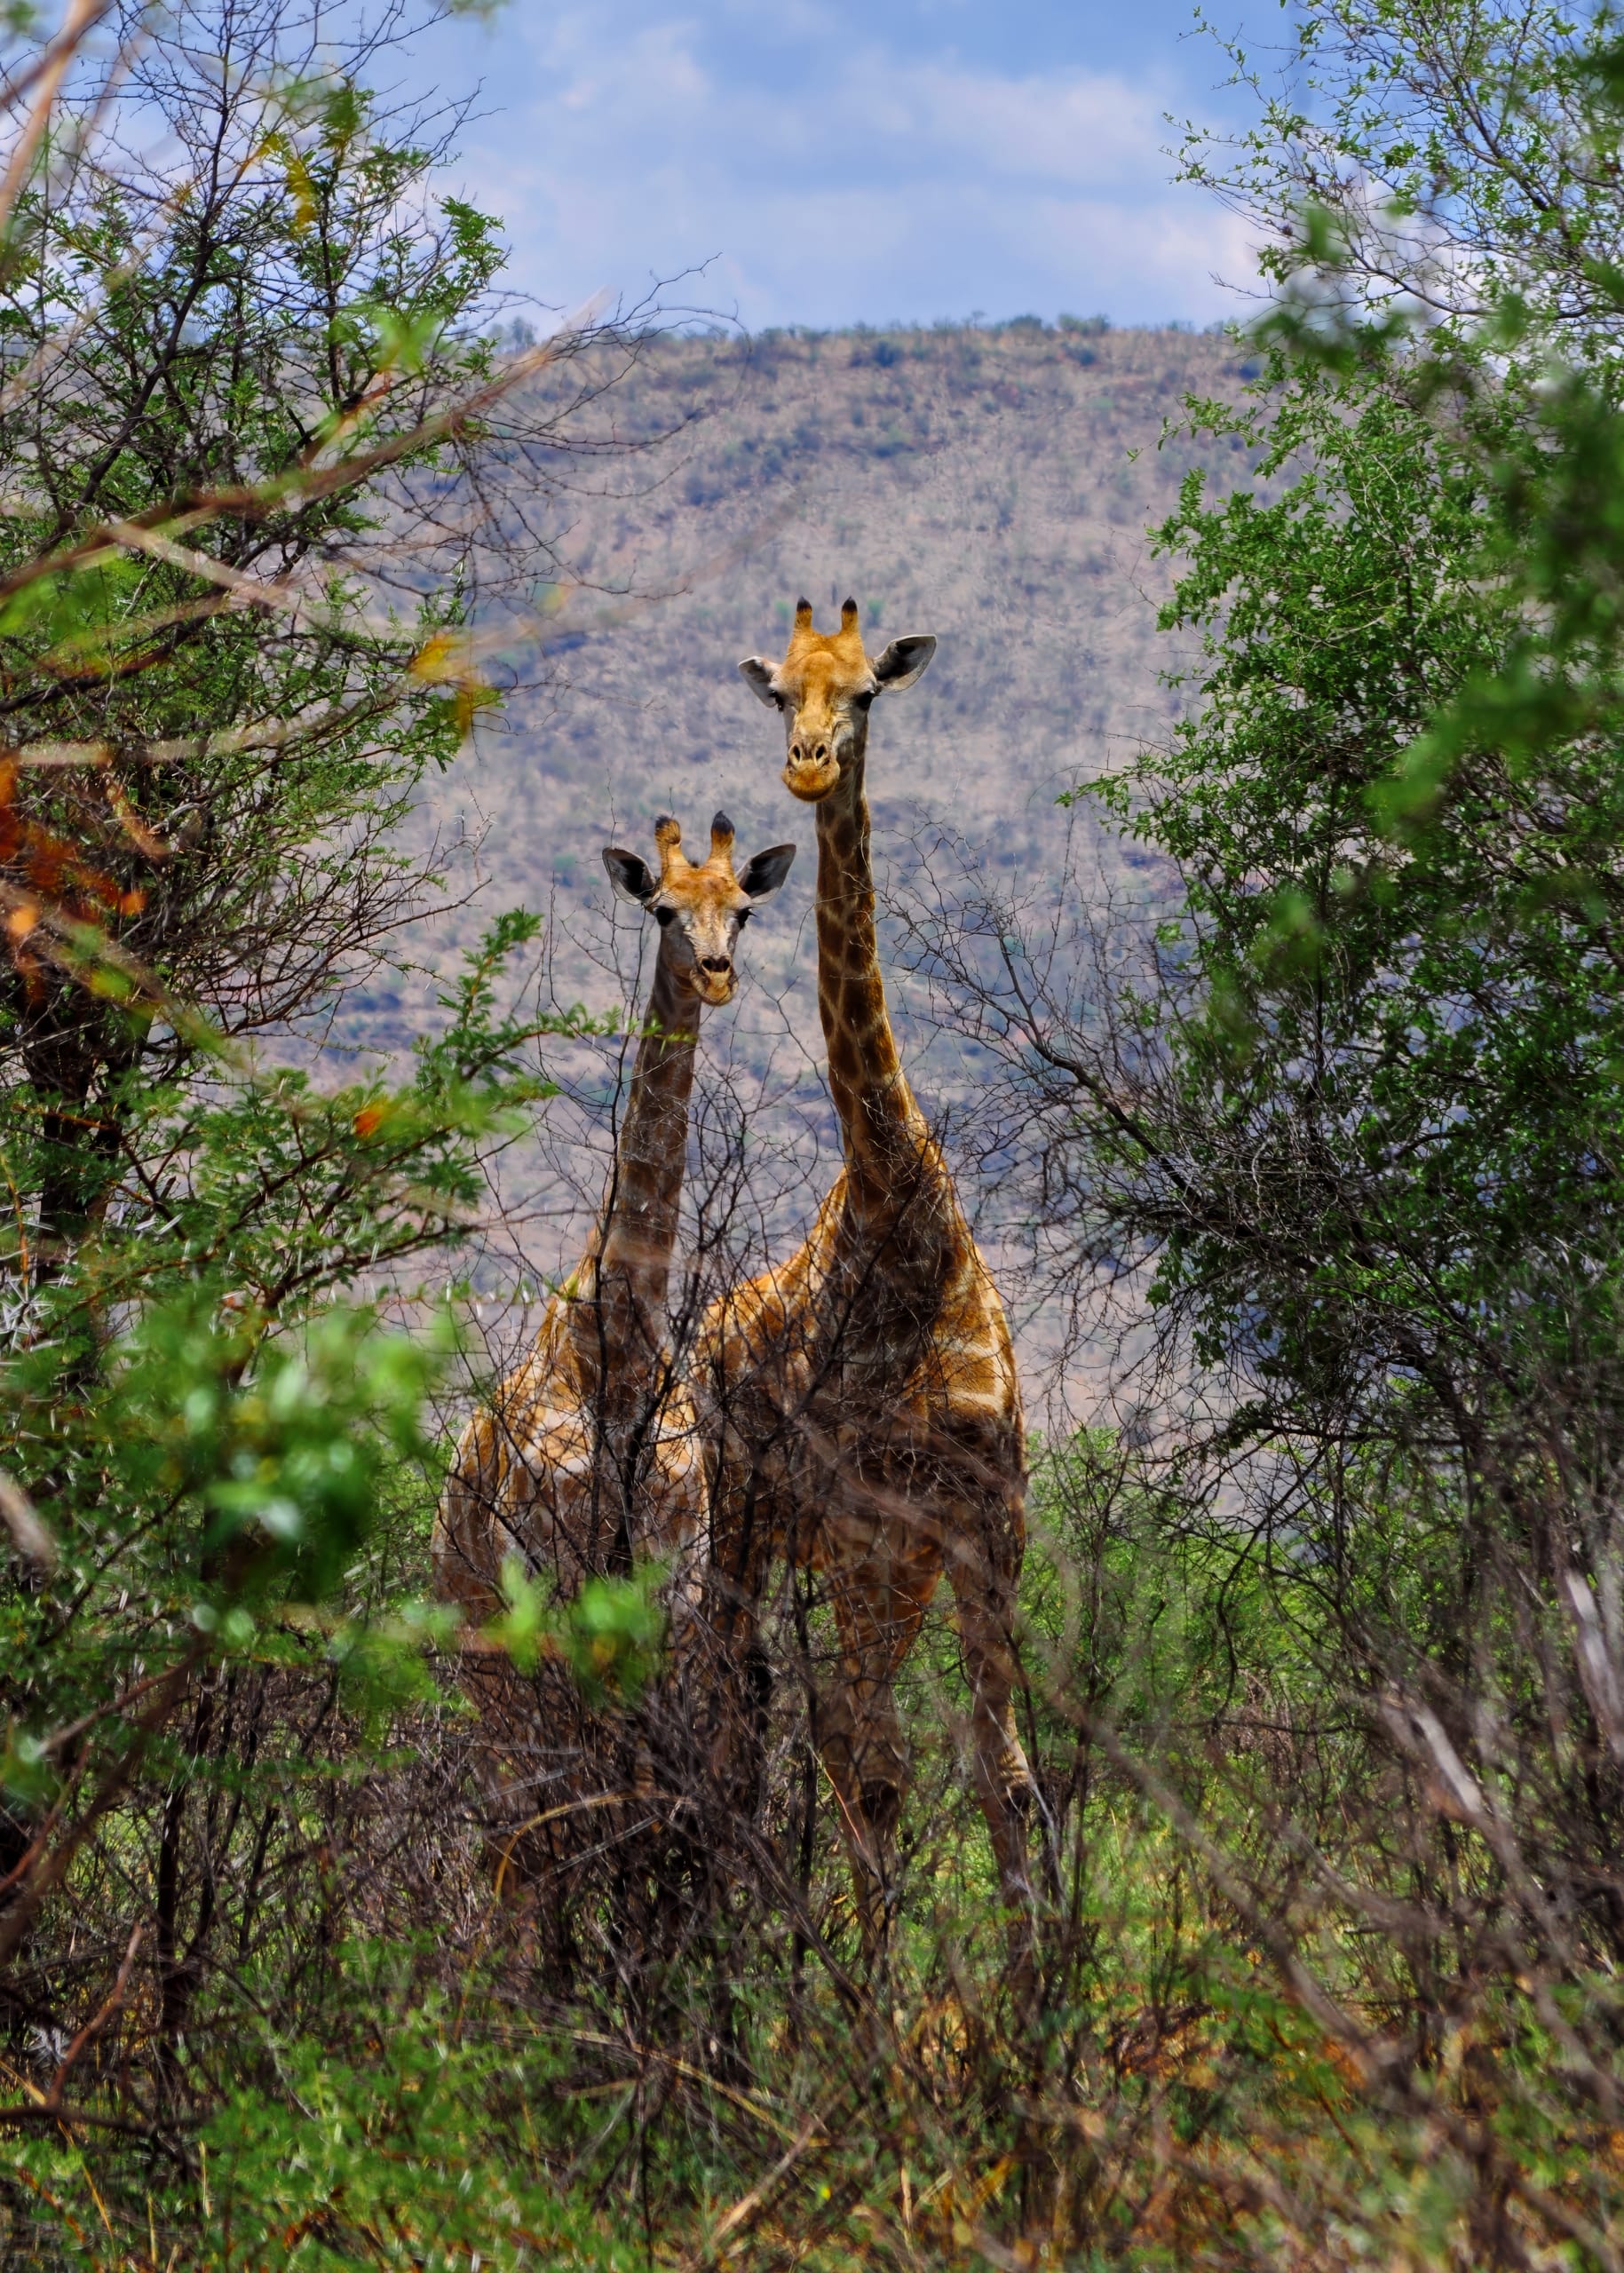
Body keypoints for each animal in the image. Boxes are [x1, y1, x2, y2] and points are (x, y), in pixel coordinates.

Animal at [433, 812, 796, 1859]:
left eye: (743, 912)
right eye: (663, 910)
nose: (714, 974)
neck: (618, 1366)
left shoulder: (669, 1594)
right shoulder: (552, 1586)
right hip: (481, 1645)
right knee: (511, 1821)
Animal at [696, 598, 1035, 1949]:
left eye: (869, 694)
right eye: (778, 689)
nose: (806, 765)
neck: (905, 1219)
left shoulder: (983, 1520)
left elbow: (1005, 1778)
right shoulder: (858, 1521)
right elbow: (875, 1765)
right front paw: (863, 2004)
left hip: (885, 1567)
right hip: (745, 1516)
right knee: (751, 1717)